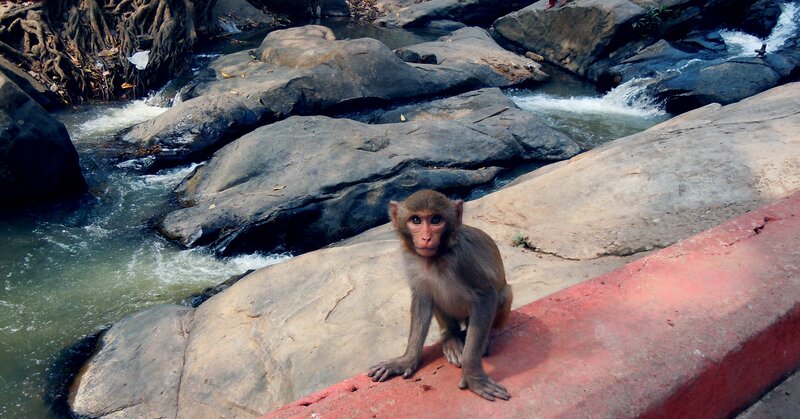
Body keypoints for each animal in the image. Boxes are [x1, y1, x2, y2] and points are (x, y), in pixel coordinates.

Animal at [367, 189, 513, 401]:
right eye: (416, 220)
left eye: (436, 220)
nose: (426, 238)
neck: (437, 258)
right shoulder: (413, 263)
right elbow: (423, 299)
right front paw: (405, 360)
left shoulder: (464, 259)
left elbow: (486, 295)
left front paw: (473, 376)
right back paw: (451, 337)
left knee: (503, 294)